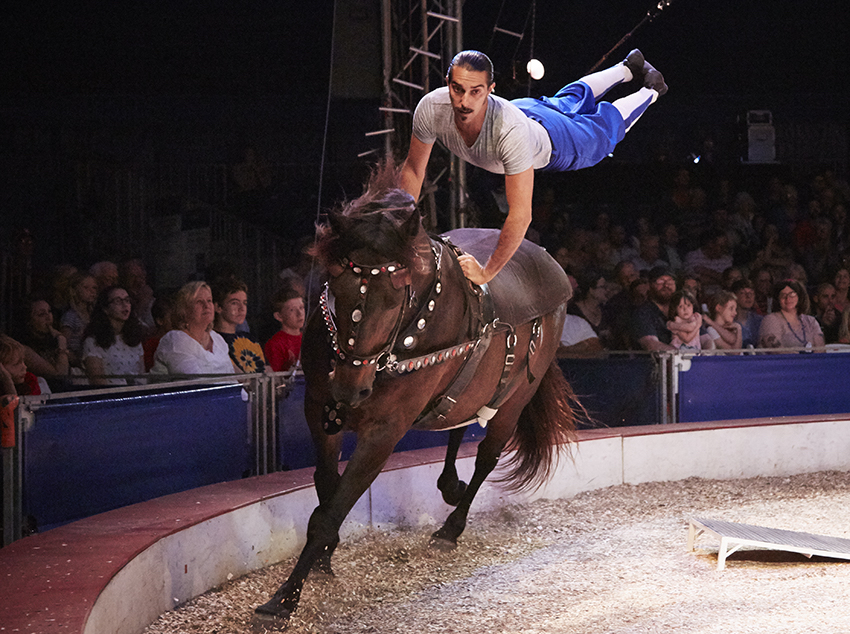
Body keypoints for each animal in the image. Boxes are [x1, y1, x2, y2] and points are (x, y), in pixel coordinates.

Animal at [253, 163, 576, 624]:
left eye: (394, 299)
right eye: (335, 283)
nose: (350, 387)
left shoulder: (384, 431)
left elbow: (332, 509)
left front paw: (284, 598)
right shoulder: (319, 408)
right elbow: (325, 487)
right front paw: (324, 556)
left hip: (514, 400)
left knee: (487, 456)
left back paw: (451, 526)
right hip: (467, 391)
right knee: (456, 420)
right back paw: (449, 484)